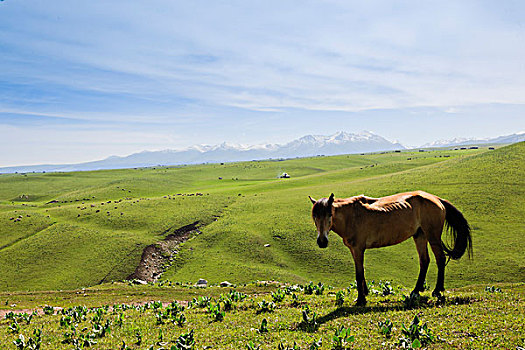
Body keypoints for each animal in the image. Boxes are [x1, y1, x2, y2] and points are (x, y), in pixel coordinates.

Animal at [308, 191, 470, 306]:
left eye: (329, 215)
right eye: (315, 217)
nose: (322, 241)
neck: (352, 216)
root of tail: (437, 199)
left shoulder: (358, 248)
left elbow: (359, 273)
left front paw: (361, 300)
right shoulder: (354, 250)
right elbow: (361, 271)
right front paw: (365, 293)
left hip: (432, 236)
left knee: (440, 259)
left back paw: (437, 291)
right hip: (420, 235)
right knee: (424, 261)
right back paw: (416, 291)